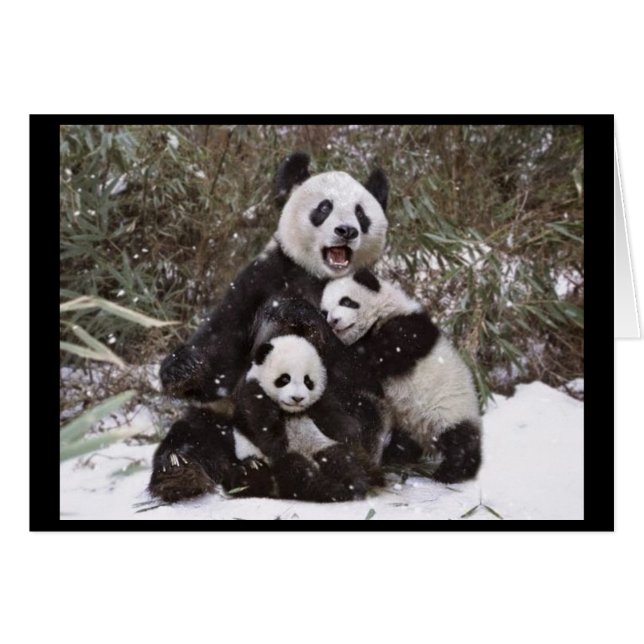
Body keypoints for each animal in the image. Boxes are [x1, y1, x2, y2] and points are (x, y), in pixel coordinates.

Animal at [320, 269, 482, 484]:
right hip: (407, 423)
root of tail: (426, 435)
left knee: (459, 439)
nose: (333, 321)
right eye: (325, 312)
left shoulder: (407, 329)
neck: (383, 313)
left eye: (346, 301)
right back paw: (395, 458)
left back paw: (452, 471)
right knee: (404, 443)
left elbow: (381, 355)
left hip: (450, 407)